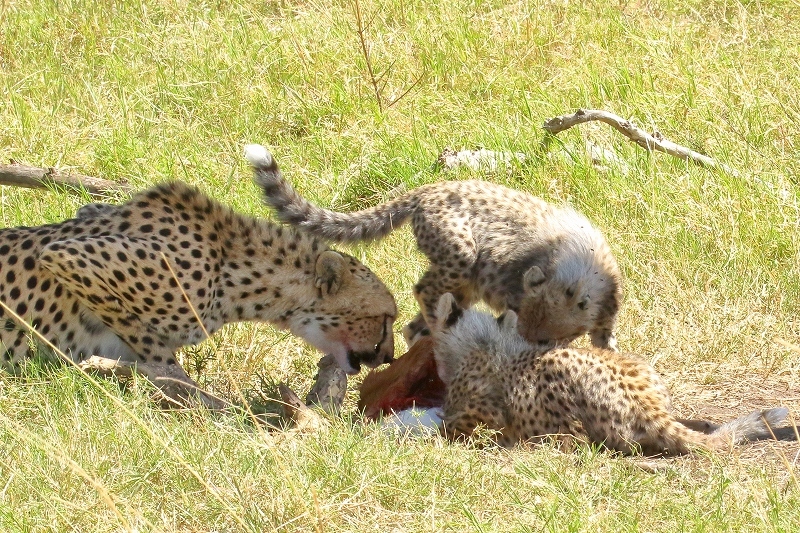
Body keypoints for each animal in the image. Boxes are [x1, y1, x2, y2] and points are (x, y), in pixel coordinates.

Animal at [0, 145, 396, 408]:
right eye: (385, 317)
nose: (389, 358)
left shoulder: (89, 214)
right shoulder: (69, 257)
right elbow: (158, 355)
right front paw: (197, 397)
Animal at [247, 149, 620, 350]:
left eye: (544, 340)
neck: (578, 271)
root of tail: (428, 188)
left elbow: (607, 342)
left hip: (467, 282)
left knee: (414, 324)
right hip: (460, 254)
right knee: (423, 289)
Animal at [432, 294, 788, 456]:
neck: (484, 341)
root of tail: (646, 404)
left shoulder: (470, 419)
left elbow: (448, 431)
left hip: (563, 421)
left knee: (573, 441)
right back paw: (704, 424)